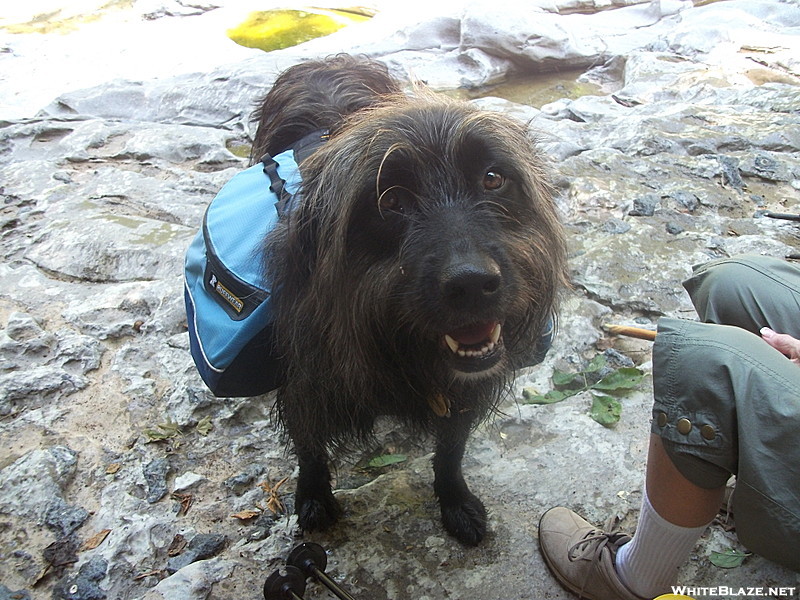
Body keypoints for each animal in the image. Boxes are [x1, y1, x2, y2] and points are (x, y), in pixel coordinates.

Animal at [252, 54, 568, 548]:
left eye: (493, 178)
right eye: (390, 200)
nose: (472, 284)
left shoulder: (461, 394)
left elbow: (451, 451)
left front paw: (455, 501)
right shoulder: (305, 386)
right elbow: (309, 448)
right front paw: (314, 497)